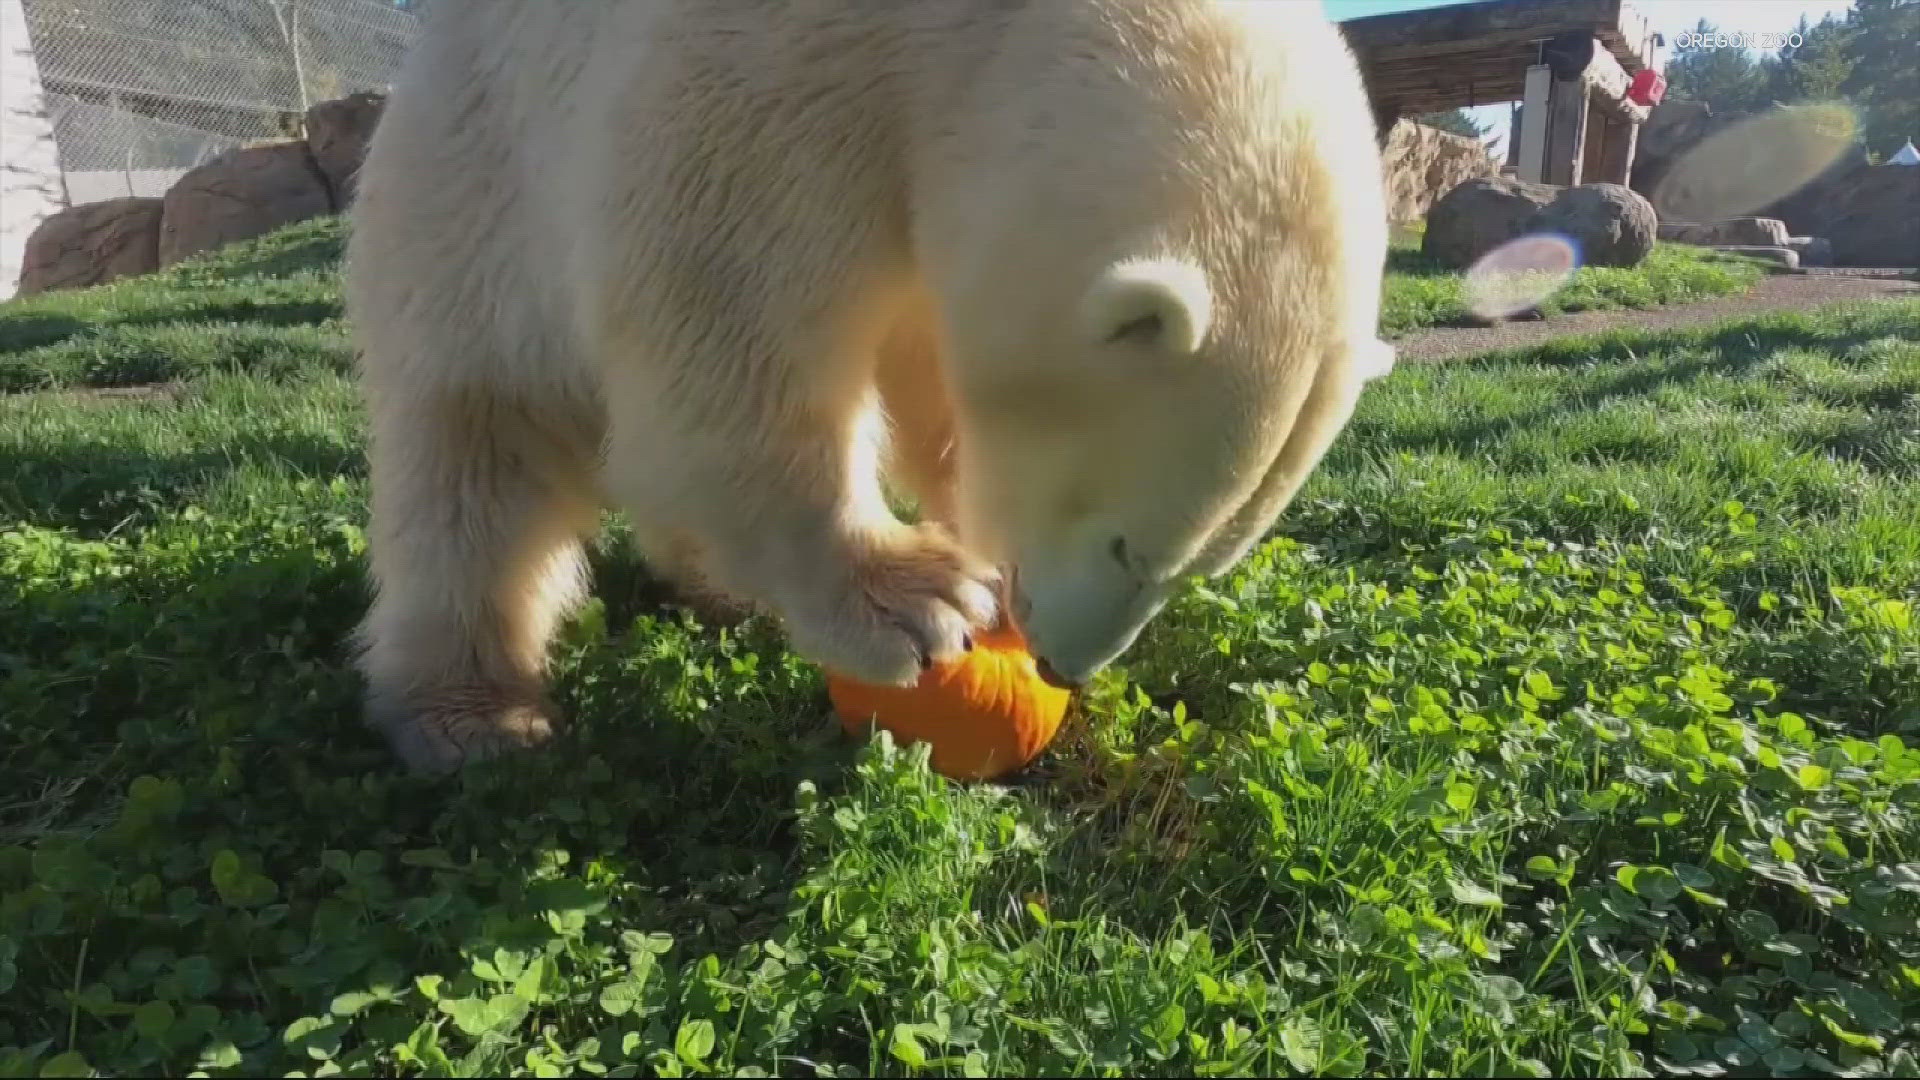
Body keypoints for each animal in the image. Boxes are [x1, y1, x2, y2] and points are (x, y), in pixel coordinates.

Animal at [349, 0, 1397, 768]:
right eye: (1128, 545)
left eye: (1204, 566)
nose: (1061, 662)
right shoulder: (766, 80)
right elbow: (730, 327)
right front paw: (918, 598)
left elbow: (933, 374)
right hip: (472, 189)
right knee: (477, 461)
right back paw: (470, 714)